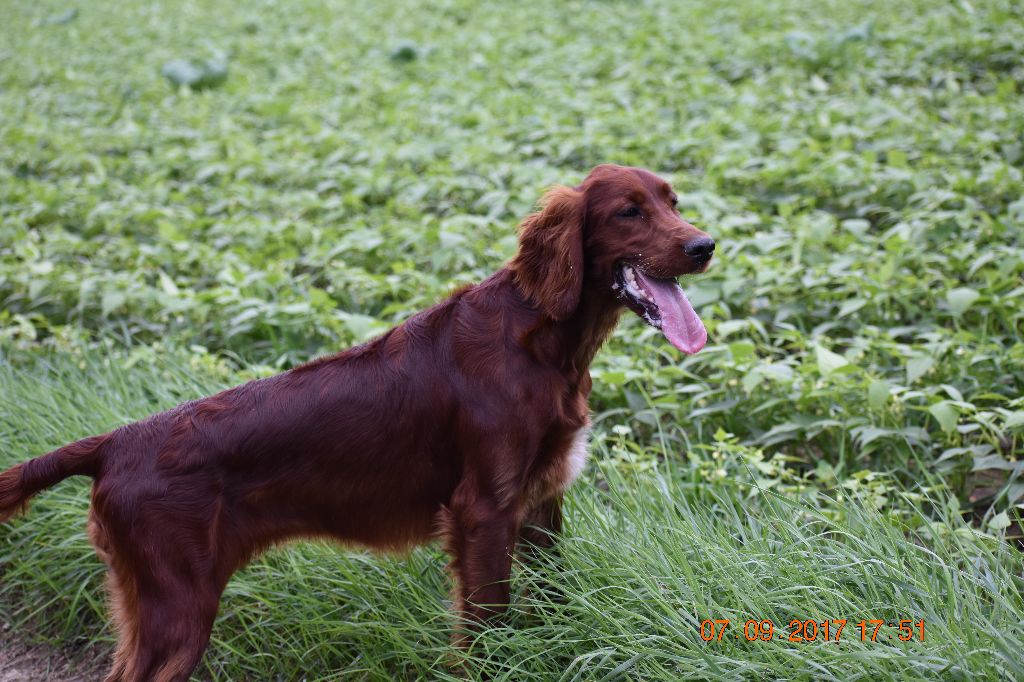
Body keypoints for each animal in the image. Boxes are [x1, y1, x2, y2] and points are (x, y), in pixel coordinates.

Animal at [0, 161, 716, 675]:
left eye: (674, 201)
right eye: (629, 211)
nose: (705, 246)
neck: (542, 341)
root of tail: (114, 443)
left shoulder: (541, 502)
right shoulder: (484, 511)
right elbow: (486, 629)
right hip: (176, 608)